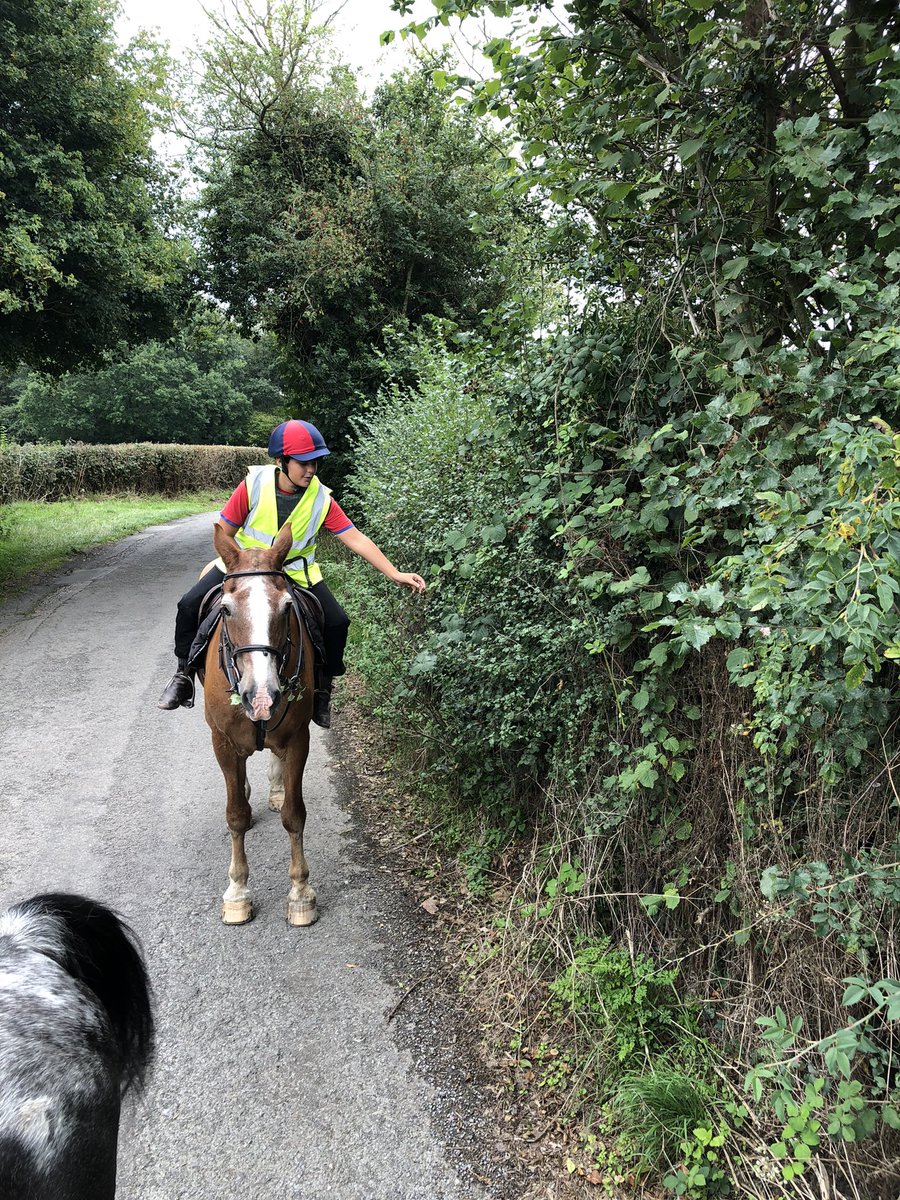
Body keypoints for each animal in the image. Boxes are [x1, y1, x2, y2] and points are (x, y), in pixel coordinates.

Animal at [202, 520, 318, 927]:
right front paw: (237, 892)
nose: (262, 696)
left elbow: (294, 816)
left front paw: (300, 894)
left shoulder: (298, 740)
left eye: (286, 607)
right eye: (225, 610)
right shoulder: (222, 743)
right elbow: (235, 816)